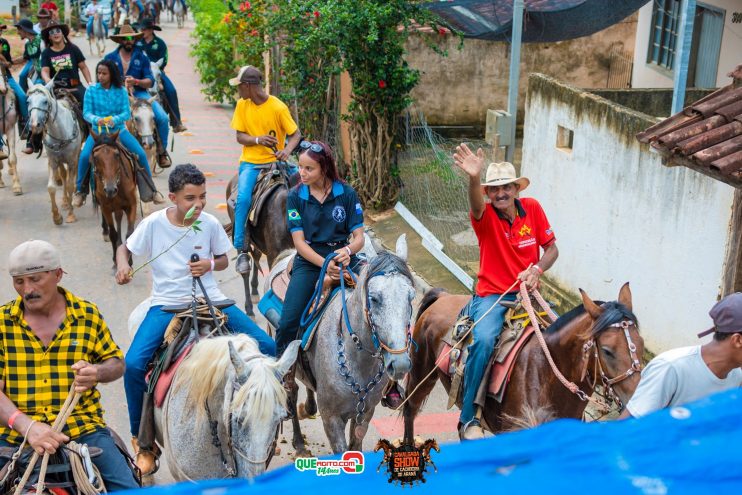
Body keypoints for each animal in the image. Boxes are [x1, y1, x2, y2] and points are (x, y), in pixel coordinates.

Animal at [27, 84, 83, 227]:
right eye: (28, 101)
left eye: (45, 101)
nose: (34, 125)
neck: (60, 132)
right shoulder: (53, 161)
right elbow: (51, 187)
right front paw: (57, 217)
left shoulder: (72, 160)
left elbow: (70, 185)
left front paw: (71, 215)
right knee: (63, 175)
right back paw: (65, 201)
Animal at [91, 130, 140, 266]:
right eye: (96, 158)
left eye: (117, 155)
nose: (110, 189)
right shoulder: (106, 208)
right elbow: (113, 233)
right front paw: (115, 261)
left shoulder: (131, 205)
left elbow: (130, 233)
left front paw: (129, 261)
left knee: (118, 218)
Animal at [288, 234, 416, 456]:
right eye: (374, 298)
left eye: (411, 296)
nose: (399, 364)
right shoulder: (331, 419)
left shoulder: (364, 414)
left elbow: (355, 446)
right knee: (291, 391)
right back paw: (299, 442)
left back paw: (308, 408)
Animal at [404, 282, 644, 442]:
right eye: (607, 351)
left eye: (640, 343)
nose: (636, 398)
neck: (546, 375)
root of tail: (443, 297)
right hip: (421, 371)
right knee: (410, 409)